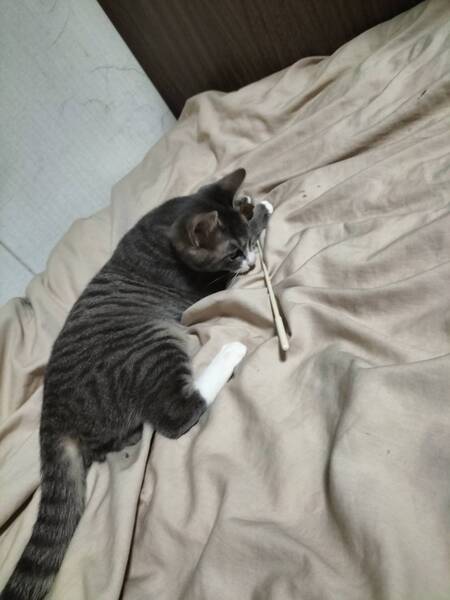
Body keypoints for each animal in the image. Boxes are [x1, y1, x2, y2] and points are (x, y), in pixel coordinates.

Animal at [1, 168, 272, 600]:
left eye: (244, 245)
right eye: (233, 254)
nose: (249, 259)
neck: (164, 226)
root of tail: (52, 412)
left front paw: (246, 201)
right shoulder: (208, 285)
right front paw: (263, 207)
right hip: (152, 345)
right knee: (176, 414)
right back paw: (229, 352)